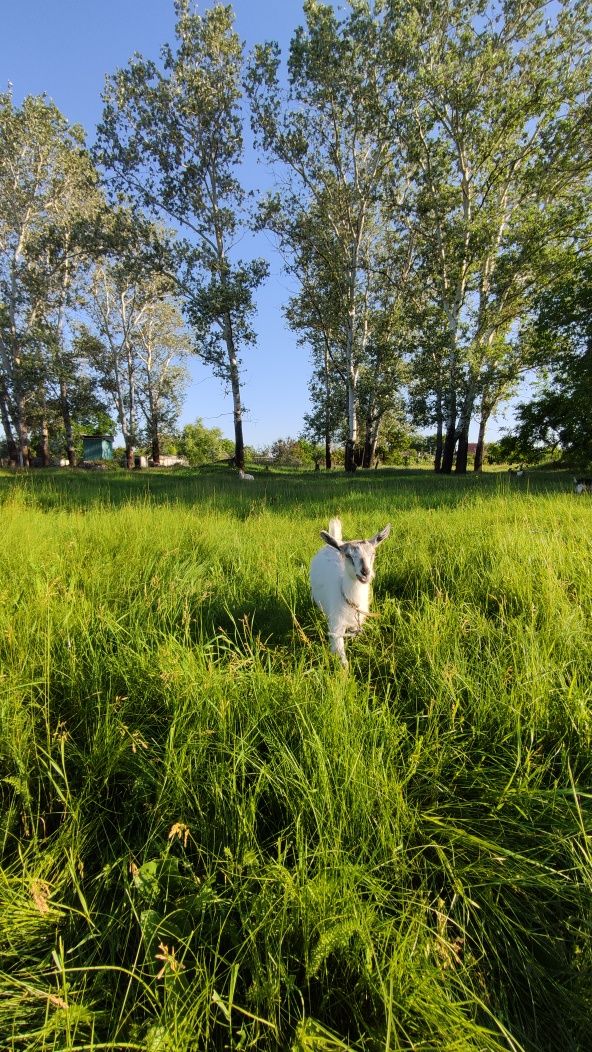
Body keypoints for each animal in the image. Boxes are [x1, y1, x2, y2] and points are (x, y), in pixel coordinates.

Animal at [309, 515, 391, 669]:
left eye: (373, 553)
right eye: (348, 555)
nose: (365, 572)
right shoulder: (336, 628)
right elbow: (343, 661)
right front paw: (345, 673)